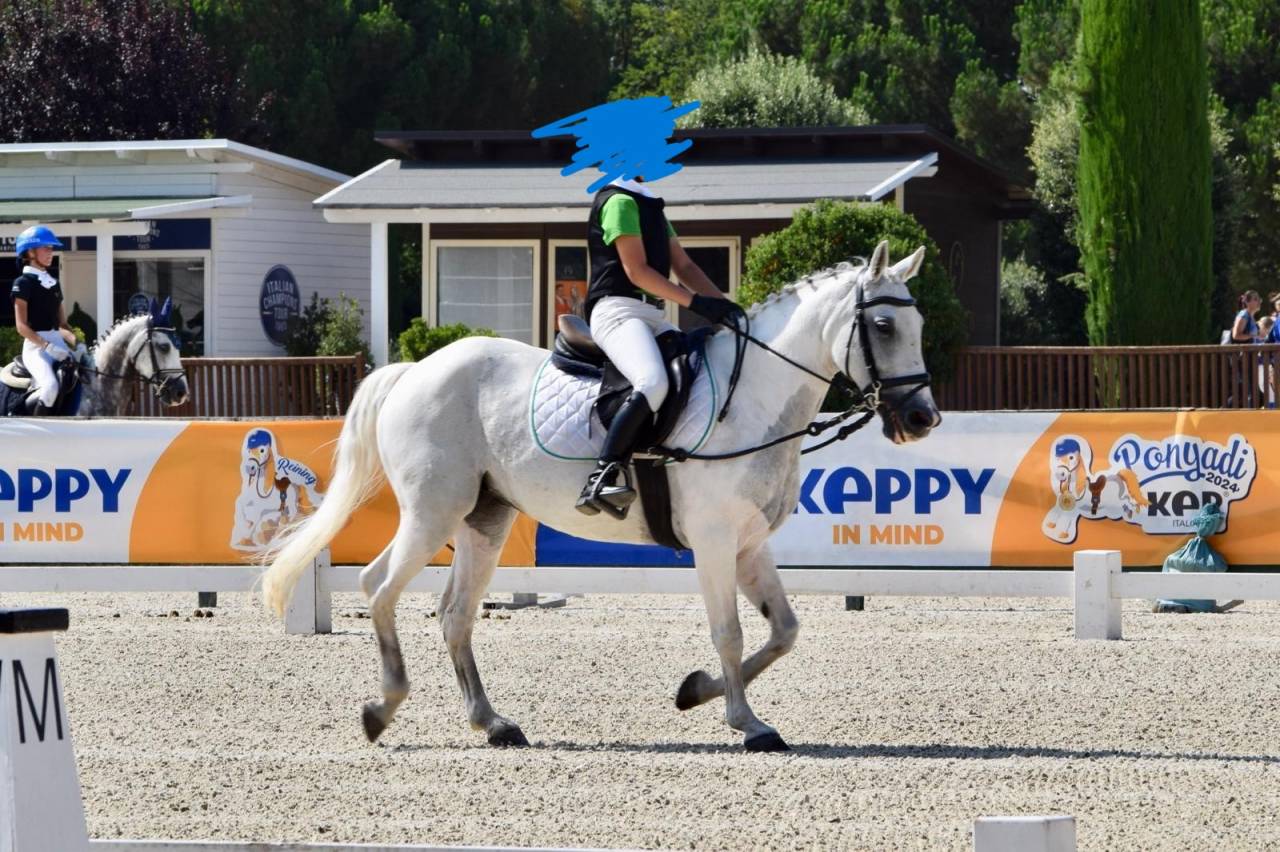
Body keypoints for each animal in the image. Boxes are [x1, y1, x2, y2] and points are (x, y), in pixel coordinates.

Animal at [262, 240, 941, 752]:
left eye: (919, 325)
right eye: (883, 325)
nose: (922, 417)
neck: (752, 398)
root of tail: (416, 369)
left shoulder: (750, 545)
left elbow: (784, 630)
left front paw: (695, 691)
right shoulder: (715, 542)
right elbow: (729, 632)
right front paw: (748, 725)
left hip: (485, 520)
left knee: (456, 613)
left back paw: (493, 723)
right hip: (433, 514)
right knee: (379, 587)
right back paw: (383, 708)